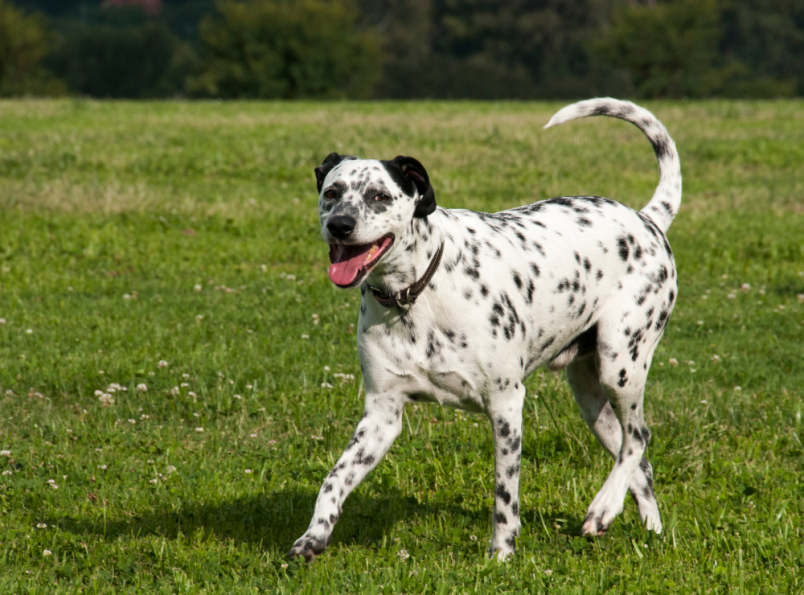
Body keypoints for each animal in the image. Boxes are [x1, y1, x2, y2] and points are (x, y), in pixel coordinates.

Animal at [288, 98, 680, 564]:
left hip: (621, 365)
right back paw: (646, 528)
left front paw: (502, 554)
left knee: (638, 437)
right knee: (639, 461)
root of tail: (646, 219)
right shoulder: (382, 415)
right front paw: (314, 535)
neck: (414, 295)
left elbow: (504, 496)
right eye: (331, 192)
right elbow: (334, 479)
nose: (341, 225)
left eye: (379, 196)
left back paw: (603, 508)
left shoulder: (506, 406)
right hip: (590, 396)